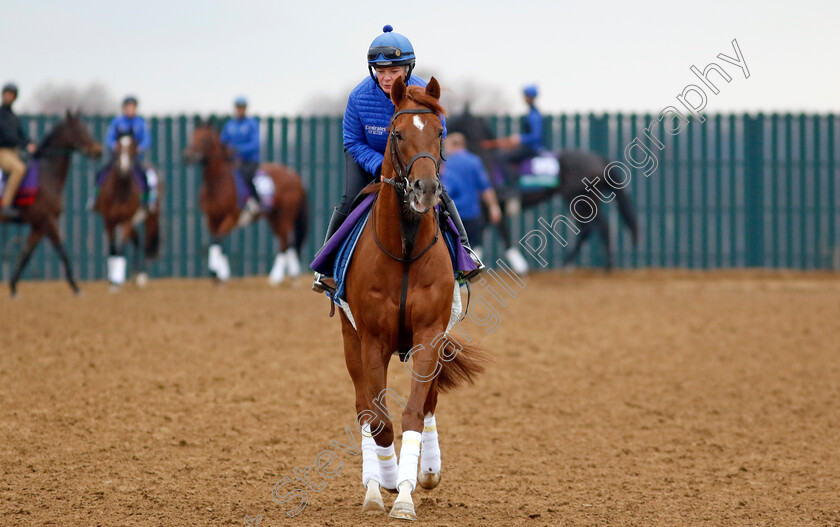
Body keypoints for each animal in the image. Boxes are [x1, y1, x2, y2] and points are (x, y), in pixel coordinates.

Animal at [1, 110, 102, 296]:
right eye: (79, 129)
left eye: (86, 127)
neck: (48, 173)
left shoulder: (38, 225)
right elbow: (61, 250)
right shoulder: (47, 220)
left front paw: (13, 286)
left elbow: (26, 253)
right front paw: (75, 286)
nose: (98, 151)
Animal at [94, 131, 162, 288]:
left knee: (147, 242)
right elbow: (113, 249)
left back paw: (142, 276)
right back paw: (134, 274)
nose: (124, 170)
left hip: (151, 216)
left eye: (133, 148)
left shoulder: (125, 220)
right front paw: (112, 279)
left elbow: (120, 248)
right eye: (118, 148)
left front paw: (117, 281)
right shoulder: (109, 221)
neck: (121, 191)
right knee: (137, 240)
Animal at [184, 122, 308, 286]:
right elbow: (216, 242)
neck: (218, 182)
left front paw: (216, 273)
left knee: (285, 242)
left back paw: (276, 277)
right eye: (192, 135)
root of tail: (294, 176)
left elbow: (217, 240)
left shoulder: (232, 217)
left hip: (284, 216)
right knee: (290, 243)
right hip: (274, 217)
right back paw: (292, 276)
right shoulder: (212, 219)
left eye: (206, 139)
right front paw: (220, 274)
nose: (187, 156)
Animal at [338, 76, 488, 520]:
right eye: (397, 133)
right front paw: (386, 484)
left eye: (439, 133)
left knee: (430, 400)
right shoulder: (372, 339)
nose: (425, 188)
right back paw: (374, 484)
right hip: (349, 338)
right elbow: (379, 419)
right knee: (364, 408)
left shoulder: (429, 334)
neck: (403, 250)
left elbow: (414, 412)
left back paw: (427, 471)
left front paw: (407, 493)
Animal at [446, 108, 636, 272]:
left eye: (453, 118)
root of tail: (599, 159)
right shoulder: (490, 209)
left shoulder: (492, 206)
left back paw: (591, 265)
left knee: (596, 228)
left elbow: (503, 234)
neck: (486, 160)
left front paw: (520, 266)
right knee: (595, 228)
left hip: (580, 200)